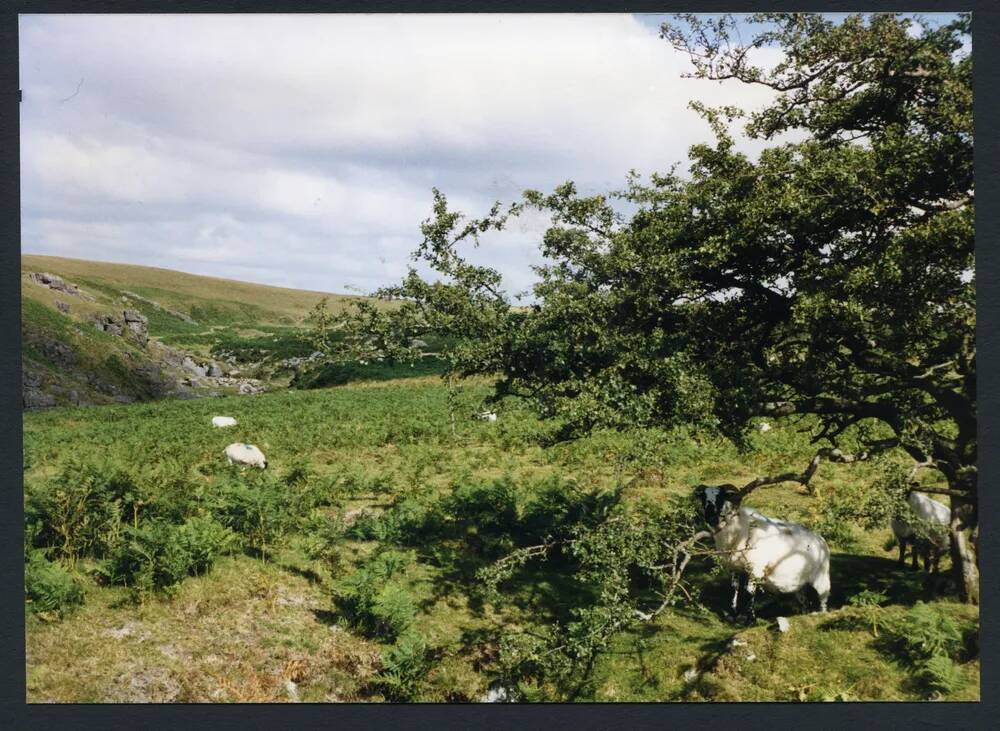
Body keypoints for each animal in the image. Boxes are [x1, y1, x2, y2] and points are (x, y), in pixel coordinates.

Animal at [692, 484, 832, 620]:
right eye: (703, 498)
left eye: (721, 498)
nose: (710, 518)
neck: (739, 530)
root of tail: (821, 540)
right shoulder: (734, 568)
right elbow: (734, 588)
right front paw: (733, 614)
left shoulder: (756, 569)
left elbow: (749, 592)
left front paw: (751, 619)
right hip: (800, 584)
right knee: (805, 602)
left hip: (821, 578)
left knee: (823, 600)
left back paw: (821, 615)